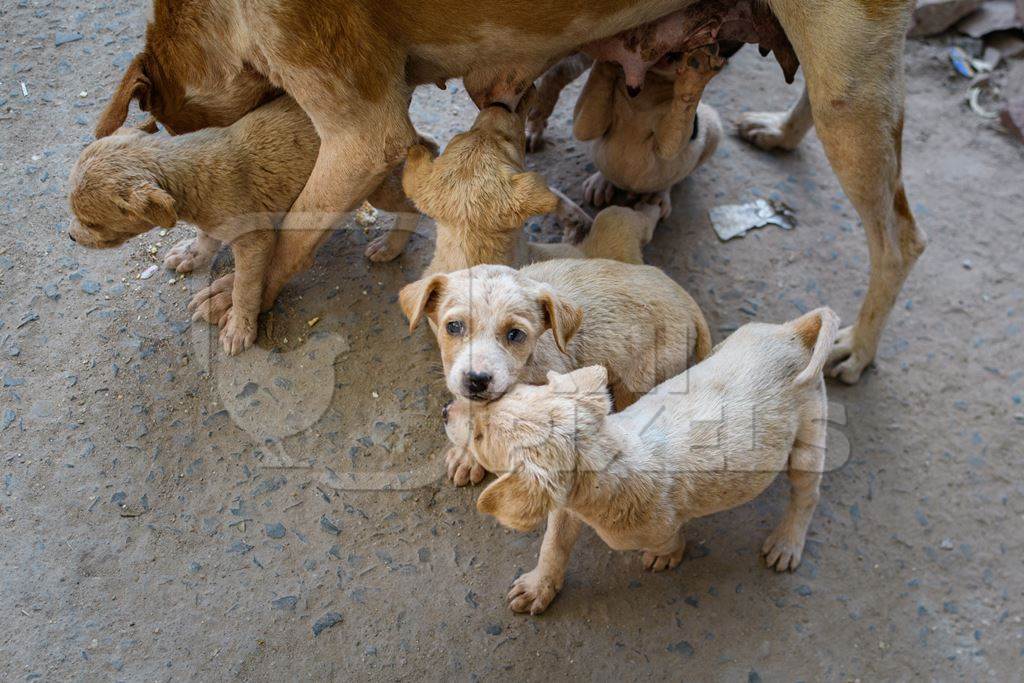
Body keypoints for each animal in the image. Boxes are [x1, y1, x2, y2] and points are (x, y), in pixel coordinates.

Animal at [399, 255, 712, 485]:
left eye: (515, 334)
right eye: (454, 327)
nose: (477, 380)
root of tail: (685, 299)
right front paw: (466, 454)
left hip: (640, 381)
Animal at [448, 309, 839, 614]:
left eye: (481, 437)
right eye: (500, 397)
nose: (444, 411)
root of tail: (794, 332)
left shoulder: (650, 528)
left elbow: (669, 541)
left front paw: (667, 557)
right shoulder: (565, 506)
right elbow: (553, 546)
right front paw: (536, 590)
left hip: (809, 438)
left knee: (808, 495)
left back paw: (785, 546)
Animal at [573, 46, 724, 218]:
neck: (648, 88)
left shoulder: (671, 137)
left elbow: (670, 147)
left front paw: (696, 74)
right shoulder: (588, 122)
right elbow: (584, 129)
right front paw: (609, 55)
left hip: (713, 128)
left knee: (671, 181)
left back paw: (656, 196)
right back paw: (601, 183)